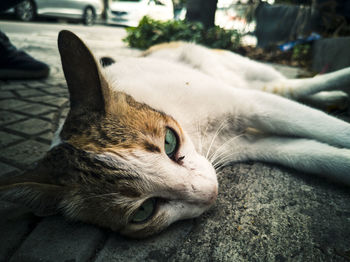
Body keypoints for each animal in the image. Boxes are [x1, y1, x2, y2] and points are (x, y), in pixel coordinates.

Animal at [0, 29, 350, 238]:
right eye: (144, 211)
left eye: (169, 142)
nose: (210, 192)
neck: (198, 132)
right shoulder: (252, 143)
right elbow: (317, 155)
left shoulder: (249, 106)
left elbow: (330, 128)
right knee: (287, 88)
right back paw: (335, 96)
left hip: (242, 70)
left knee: (292, 85)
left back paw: (337, 84)